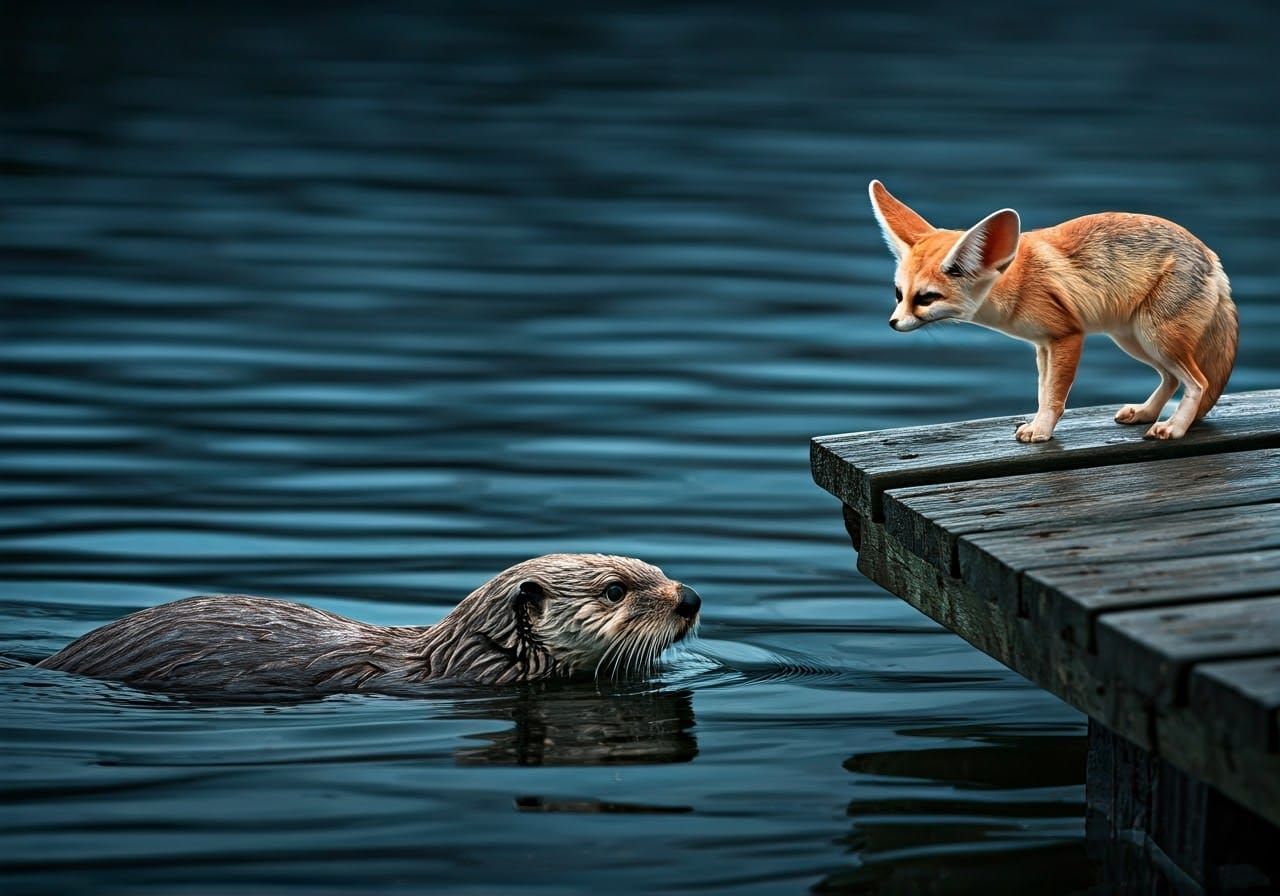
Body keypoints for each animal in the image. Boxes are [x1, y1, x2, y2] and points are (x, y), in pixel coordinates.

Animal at [867, 180, 1238, 442]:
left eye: (927, 298)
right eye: (899, 294)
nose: (892, 323)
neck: (1017, 281)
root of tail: (1212, 257)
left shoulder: (1067, 336)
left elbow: (1055, 396)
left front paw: (1042, 430)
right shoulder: (1043, 344)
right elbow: (1043, 392)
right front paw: (1038, 424)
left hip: (1155, 338)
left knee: (1199, 383)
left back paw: (1174, 427)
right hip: (1135, 341)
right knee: (1172, 378)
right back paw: (1147, 412)